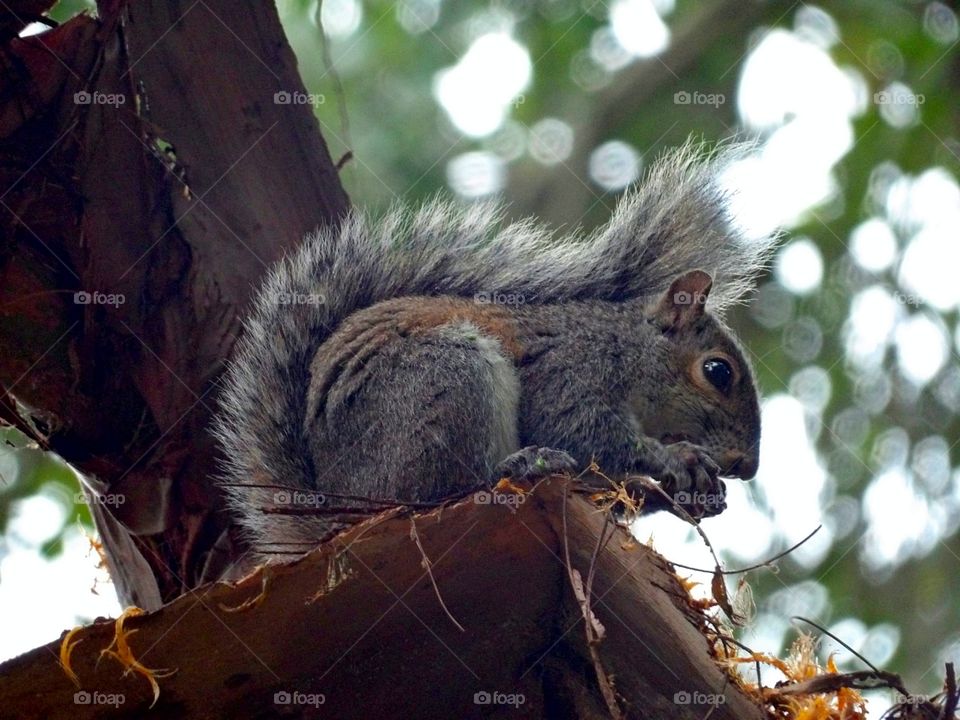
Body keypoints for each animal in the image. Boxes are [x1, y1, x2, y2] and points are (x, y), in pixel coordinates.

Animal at [213, 142, 777, 559]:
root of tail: (337, 507)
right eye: (717, 372)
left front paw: (694, 493)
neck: (625, 347)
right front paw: (677, 459)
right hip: (447, 381)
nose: (746, 467)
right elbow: (584, 434)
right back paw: (524, 464)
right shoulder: (573, 371)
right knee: (442, 493)